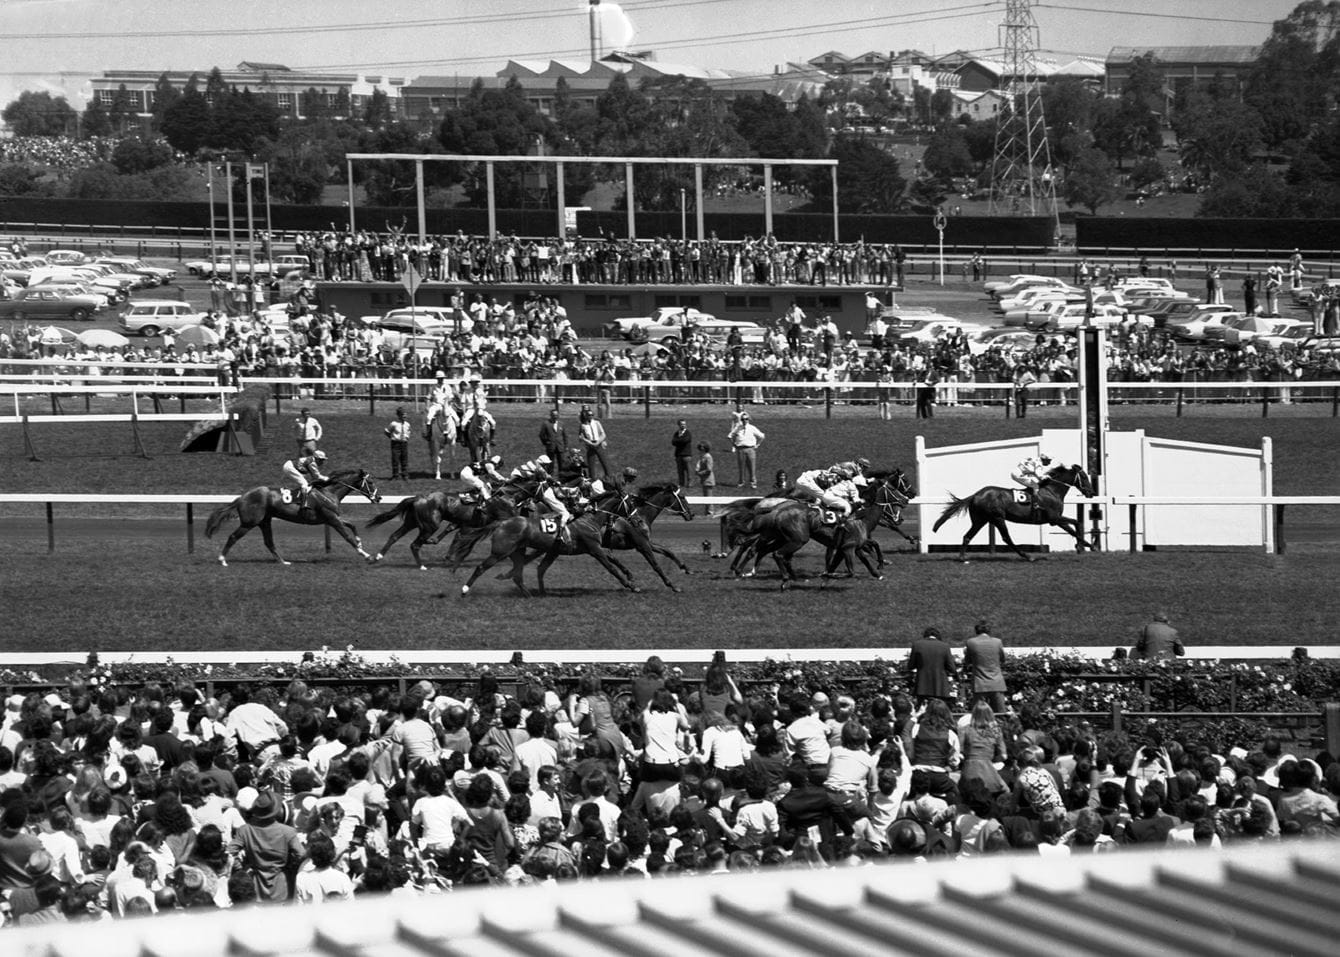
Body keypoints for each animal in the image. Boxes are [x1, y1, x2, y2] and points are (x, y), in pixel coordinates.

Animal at [205, 466, 383, 562]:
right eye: (371, 482)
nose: (379, 497)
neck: (328, 492)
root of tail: (242, 497)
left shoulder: (332, 517)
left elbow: (352, 525)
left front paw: (360, 542)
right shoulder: (332, 519)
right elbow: (347, 537)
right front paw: (366, 555)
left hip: (264, 521)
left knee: (269, 541)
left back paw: (283, 562)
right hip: (250, 522)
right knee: (233, 537)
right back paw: (222, 560)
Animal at [938, 461, 1093, 560]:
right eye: (1085, 476)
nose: (1091, 493)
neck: (1052, 491)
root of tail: (976, 495)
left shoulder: (1056, 519)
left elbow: (1074, 525)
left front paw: (1080, 547)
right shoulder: (1054, 518)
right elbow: (1076, 524)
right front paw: (1089, 546)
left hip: (980, 520)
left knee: (967, 536)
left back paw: (962, 557)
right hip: (997, 518)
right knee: (1006, 538)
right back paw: (1027, 556)